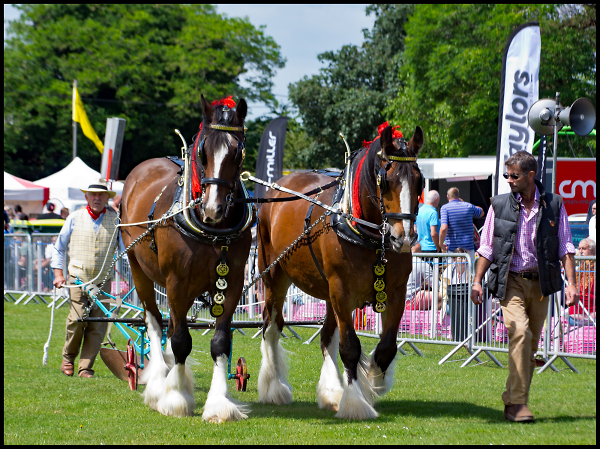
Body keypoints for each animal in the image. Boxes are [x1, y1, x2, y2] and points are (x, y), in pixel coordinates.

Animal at [120, 96, 252, 422]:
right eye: (203, 151)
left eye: (238, 151)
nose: (213, 209)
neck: (212, 230)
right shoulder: (177, 283)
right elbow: (180, 340)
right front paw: (176, 398)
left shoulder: (232, 284)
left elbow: (220, 342)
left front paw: (218, 403)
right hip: (139, 271)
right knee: (155, 322)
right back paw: (158, 383)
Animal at [256, 125, 422, 420]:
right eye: (386, 181)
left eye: (419, 181)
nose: (403, 238)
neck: (369, 237)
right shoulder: (342, 291)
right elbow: (350, 347)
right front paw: (356, 402)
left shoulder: (396, 293)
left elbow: (386, 347)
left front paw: (374, 382)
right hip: (275, 277)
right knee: (272, 328)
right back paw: (274, 388)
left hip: (328, 292)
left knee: (327, 337)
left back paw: (332, 391)